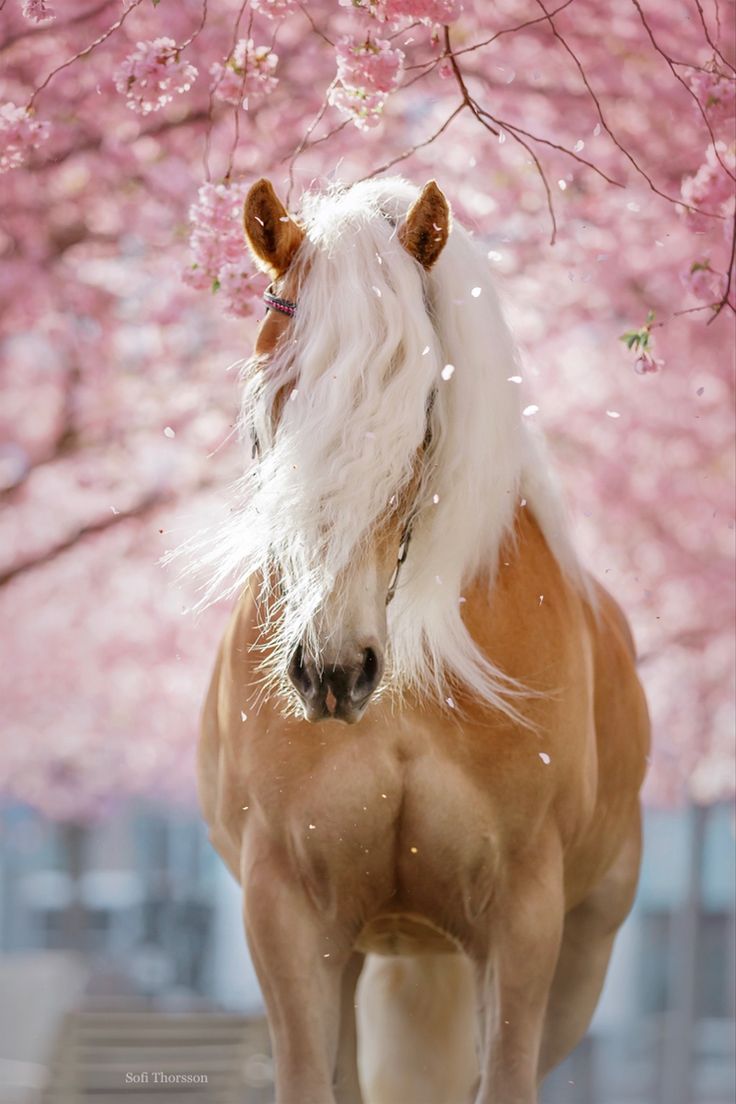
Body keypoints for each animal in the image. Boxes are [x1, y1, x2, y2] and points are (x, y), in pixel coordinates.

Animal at [199, 176, 648, 1099]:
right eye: (270, 400)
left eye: (421, 410)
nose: (332, 671)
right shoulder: (287, 915)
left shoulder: (524, 920)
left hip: (582, 958)